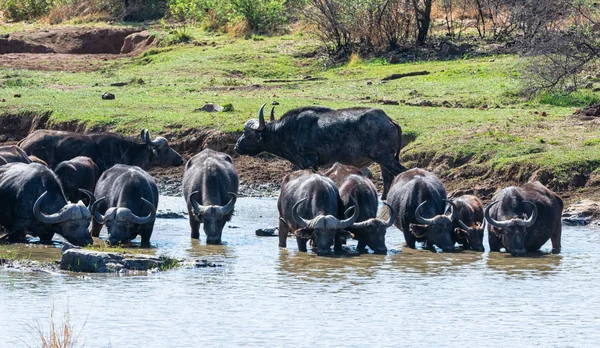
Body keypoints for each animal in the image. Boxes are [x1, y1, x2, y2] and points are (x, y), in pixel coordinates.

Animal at [234, 104, 408, 198]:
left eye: (247, 133)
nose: (236, 147)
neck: (289, 131)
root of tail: (389, 120)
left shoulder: (309, 161)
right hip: (383, 160)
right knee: (387, 178)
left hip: (385, 157)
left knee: (401, 172)